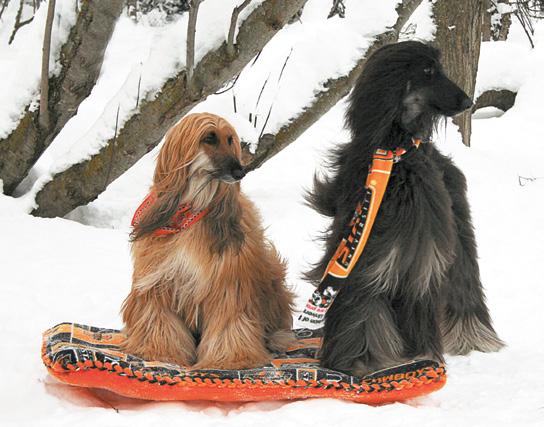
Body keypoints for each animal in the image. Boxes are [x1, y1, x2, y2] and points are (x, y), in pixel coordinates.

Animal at [122, 112, 294, 369]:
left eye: (230, 140)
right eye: (209, 138)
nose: (240, 172)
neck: (192, 207)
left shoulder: (227, 283)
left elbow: (228, 322)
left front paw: (230, 359)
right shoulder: (158, 280)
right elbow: (160, 317)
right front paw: (161, 352)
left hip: (272, 273)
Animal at [306, 41, 504, 376]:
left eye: (440, 68)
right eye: (427, 71)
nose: (467, 101)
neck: (395, 157)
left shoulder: (424, 261)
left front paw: (423, 354)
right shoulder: (364, 261)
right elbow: (362, 309)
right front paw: (361, 358)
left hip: (458, 236)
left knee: (464, 283)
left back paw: (473, 336)